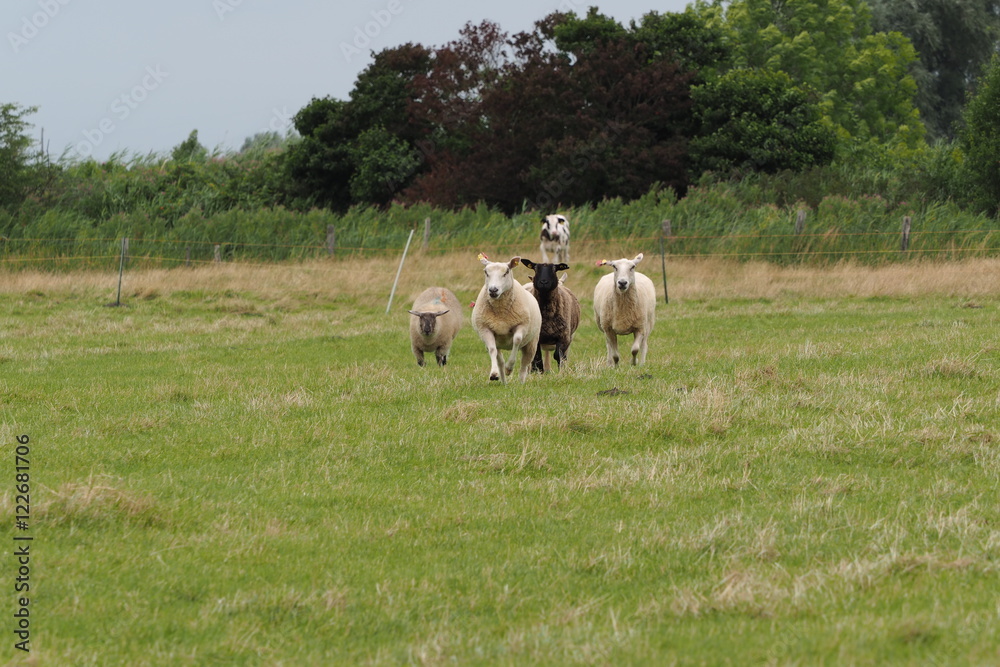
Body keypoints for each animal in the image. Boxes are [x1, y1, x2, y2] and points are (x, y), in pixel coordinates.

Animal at [471, 254, 542, 383]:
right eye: (486, 272)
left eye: (506, 272)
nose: (493, 290)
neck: (500, 312)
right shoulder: (485, 329)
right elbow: (492, 350)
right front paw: (494, 374)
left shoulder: (522, 325)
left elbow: (517, 340)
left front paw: (510, 368)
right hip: (499, 344)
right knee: (500, 361)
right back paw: (503, 381)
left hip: (532, 342)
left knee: (525, 364)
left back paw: (521, 382)